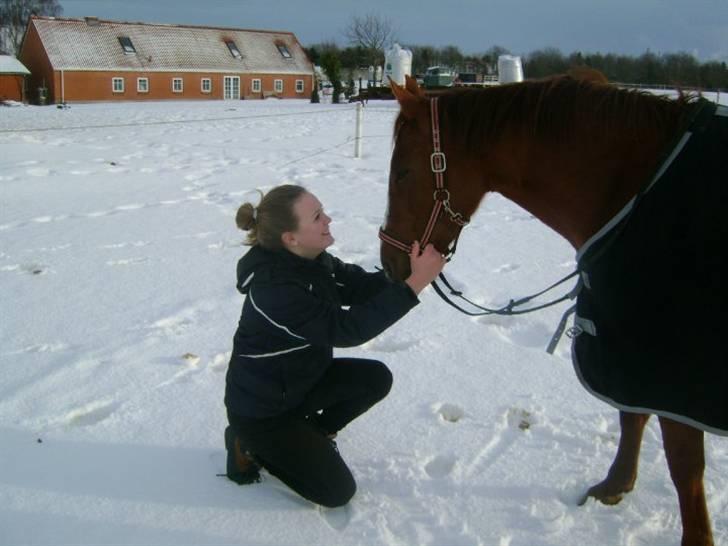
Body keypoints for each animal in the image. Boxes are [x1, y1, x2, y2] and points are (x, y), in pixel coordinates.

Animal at [378, 73, 724, 544]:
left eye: (403, 173)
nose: (389, 264)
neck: (634, 190)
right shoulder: (626, 350)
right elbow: (632, 419)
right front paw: (615, 486)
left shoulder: (667, 370)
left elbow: (684, 466)